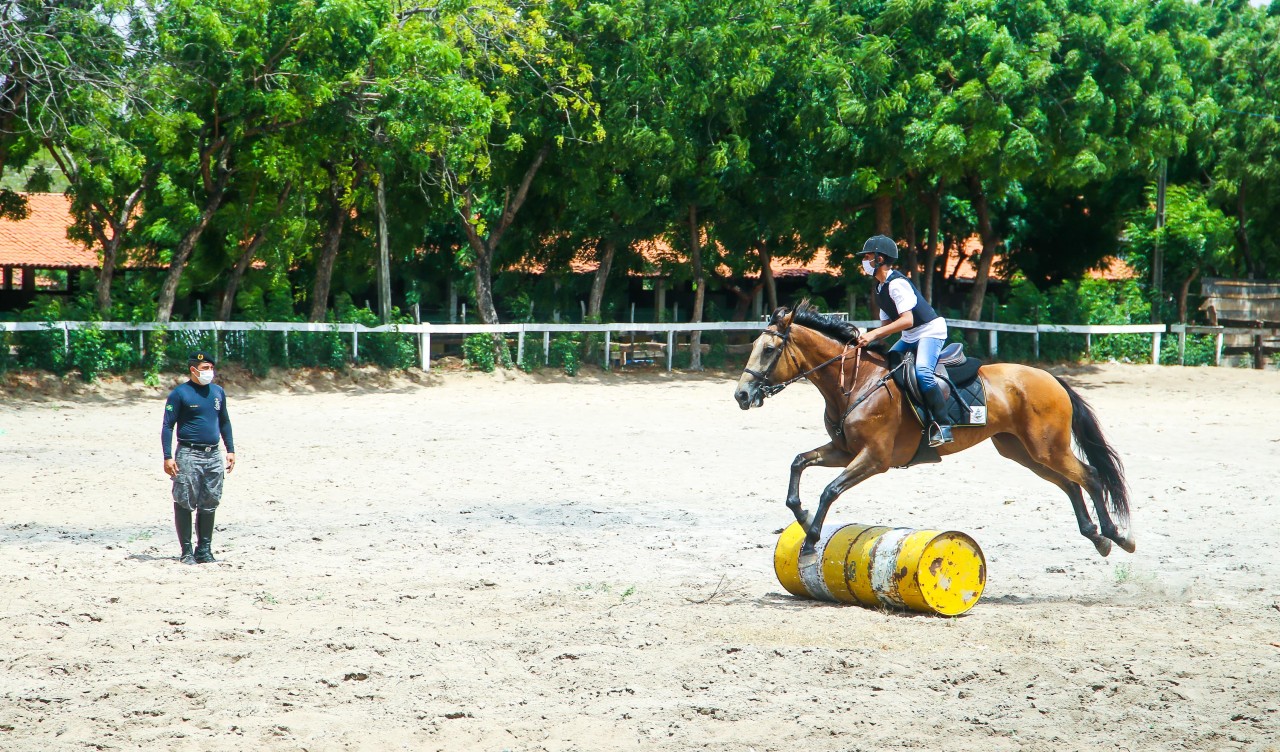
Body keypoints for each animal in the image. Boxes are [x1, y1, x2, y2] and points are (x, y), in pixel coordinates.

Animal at [737, 300, 1136, 557]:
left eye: (769, 350)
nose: (742, 395)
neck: (855, 383)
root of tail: (1052, 379)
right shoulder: (844, 451)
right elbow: (799, 463)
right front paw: (803, 519)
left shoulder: (874, 458)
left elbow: (829, 490)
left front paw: (810, 539)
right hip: (1023, 451)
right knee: (1070, 484)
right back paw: (1098, 538)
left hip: (1046, 448)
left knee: (1090, 476)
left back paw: (1117, 536)